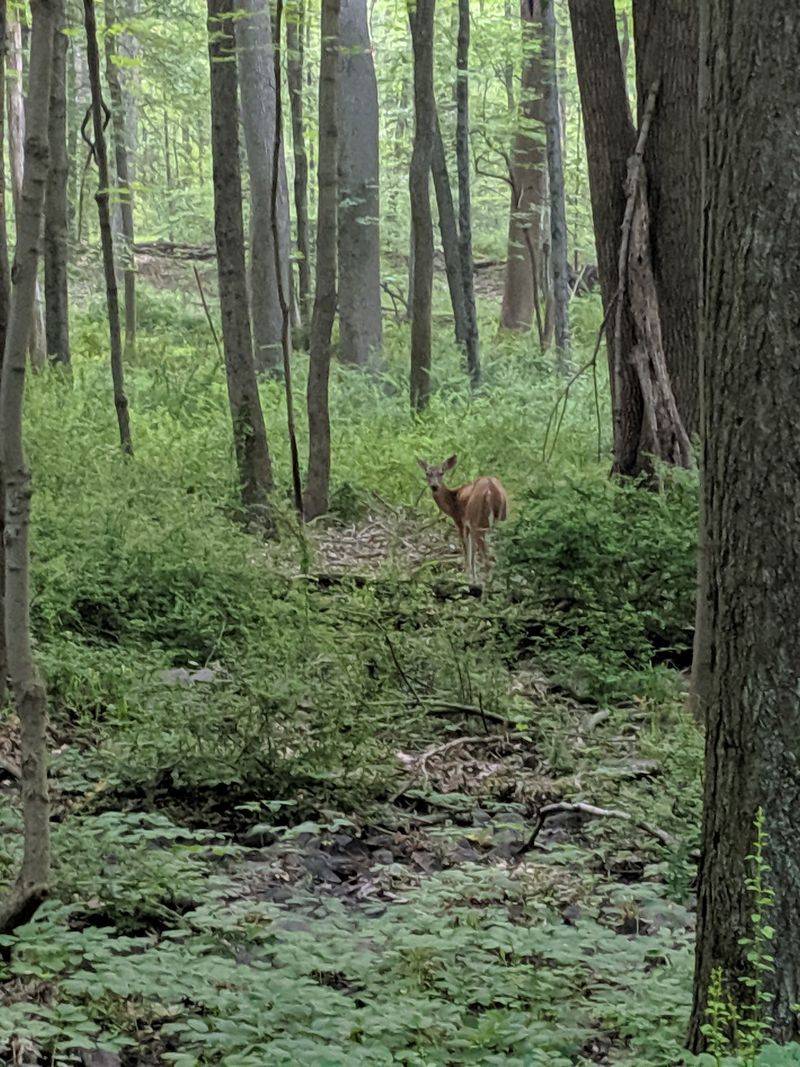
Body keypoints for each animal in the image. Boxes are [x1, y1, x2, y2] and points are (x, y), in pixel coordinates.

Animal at [417, 455, 508, 584]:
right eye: (427, 473)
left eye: (441, 472)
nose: (434, 486)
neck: (452, 501)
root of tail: (492, 491)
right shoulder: (468, 525)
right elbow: (472, 551)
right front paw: (472, 577)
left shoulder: (460, 520)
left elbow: (466, 548)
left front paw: (467, 576)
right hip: (502, 519)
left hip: (479, 521)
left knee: (487, 559)